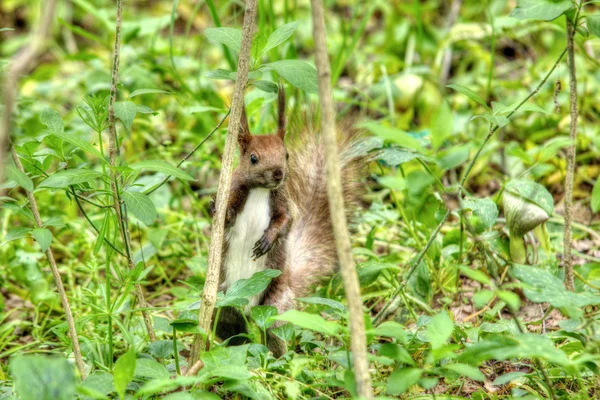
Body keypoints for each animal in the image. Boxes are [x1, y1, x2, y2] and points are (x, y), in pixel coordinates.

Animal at [211, 87, 366, 356]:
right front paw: (214, 208)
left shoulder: (284, 203)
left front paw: (268, 240)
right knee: (231, 328)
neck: (260, 190)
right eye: (253, 158)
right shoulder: (234, 191)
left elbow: (286, 220)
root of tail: (250, 309)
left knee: (274, 331)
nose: (278, 174)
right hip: (225, 301)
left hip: (275, 303)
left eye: (286, 155)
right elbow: (226, 218)